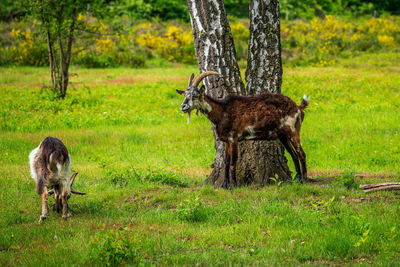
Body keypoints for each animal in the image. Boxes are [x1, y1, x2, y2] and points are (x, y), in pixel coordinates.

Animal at [176, 71, 310, 188]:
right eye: (185, 95)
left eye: (195, 95)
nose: (183, 106)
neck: (223, 111)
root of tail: (298, 107)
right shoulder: (226, 140)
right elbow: (226, 161)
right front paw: (224, 184)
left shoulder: (234, 138)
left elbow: (233, 162)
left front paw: (234, 185)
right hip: (283, 135)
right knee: (294, 154)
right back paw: (296, 179)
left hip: (293, 130)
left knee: (301, 153)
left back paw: (304, 179)